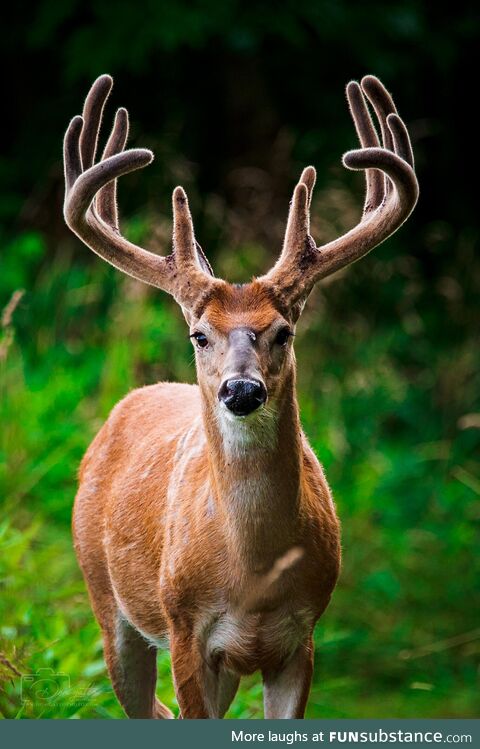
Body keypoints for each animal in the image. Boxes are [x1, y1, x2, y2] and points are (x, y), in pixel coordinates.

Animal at [63, 73, 416, 716]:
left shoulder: (301, 637)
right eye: (199, 334)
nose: (242, 389)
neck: (252, 577)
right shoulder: (185, 630)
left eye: (285, 331)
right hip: (108, 601)